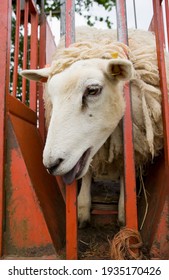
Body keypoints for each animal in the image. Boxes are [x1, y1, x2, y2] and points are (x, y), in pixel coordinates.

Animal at [20, 26, 169, 228]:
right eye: (51, 94)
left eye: (92, 90)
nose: (51, 165)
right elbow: (88, 172)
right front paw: (82, 209)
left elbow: (125, 170)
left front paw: (124, 211)